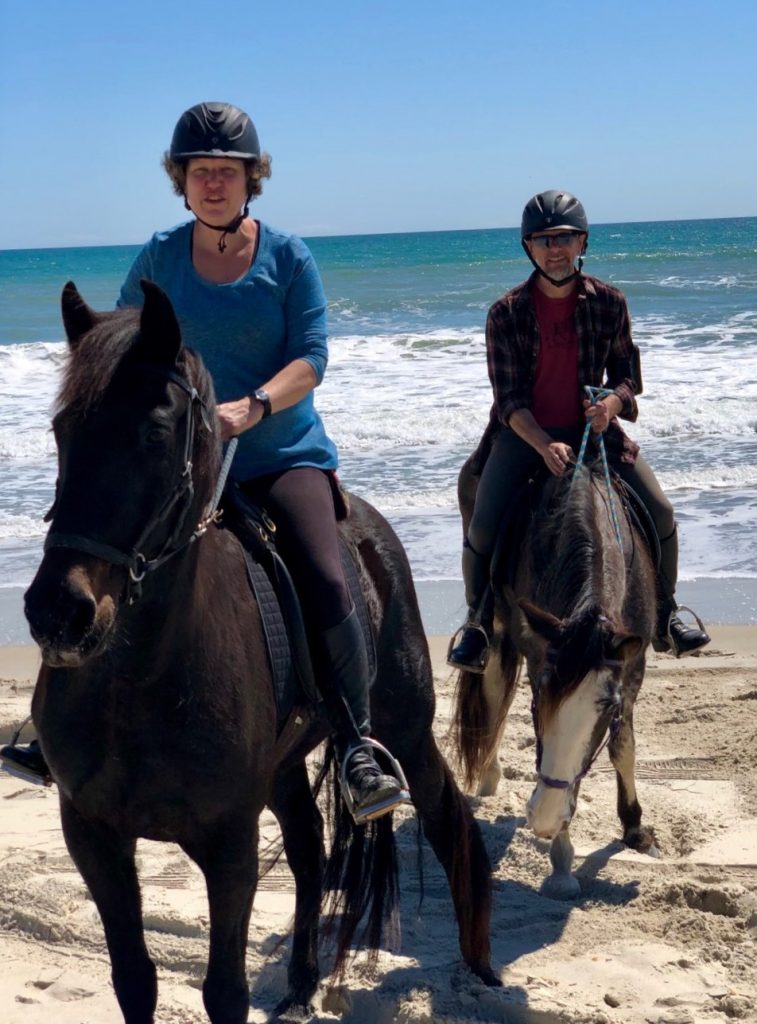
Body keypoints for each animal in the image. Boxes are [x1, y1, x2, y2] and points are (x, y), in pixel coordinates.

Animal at [25, 282, 497, 1024]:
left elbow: (225, 991)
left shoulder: (229, 846)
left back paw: (476, 971)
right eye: (61, 431)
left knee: (450, 826)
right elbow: (133, 979)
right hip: (283, 767)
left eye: (154, 435)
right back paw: (302, 981)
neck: (140, 680)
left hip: (406, 731)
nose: (58, 614)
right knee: (308, 852)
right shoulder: (93, 835)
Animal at [452, 454, 659, 897]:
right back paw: (490, 774)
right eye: (539, 700)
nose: (544, 817)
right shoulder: (538, 659)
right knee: (494, 686)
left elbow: (623, 747)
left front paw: (635, 829)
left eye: (607, 708)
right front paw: (561, 864)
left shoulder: (633, 668)